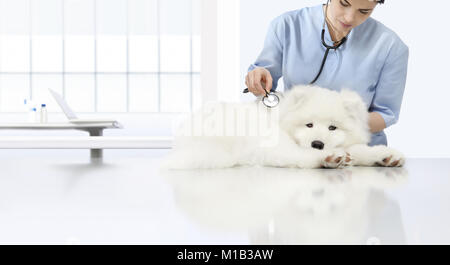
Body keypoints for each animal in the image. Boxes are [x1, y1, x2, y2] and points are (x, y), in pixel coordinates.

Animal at [162, 85, 404, 169]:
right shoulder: (276, 145)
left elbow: (358, 150)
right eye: (309, 124)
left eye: (332, 128)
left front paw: (386, 156)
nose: (318, 144)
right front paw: (330, 157)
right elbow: (303, 156)